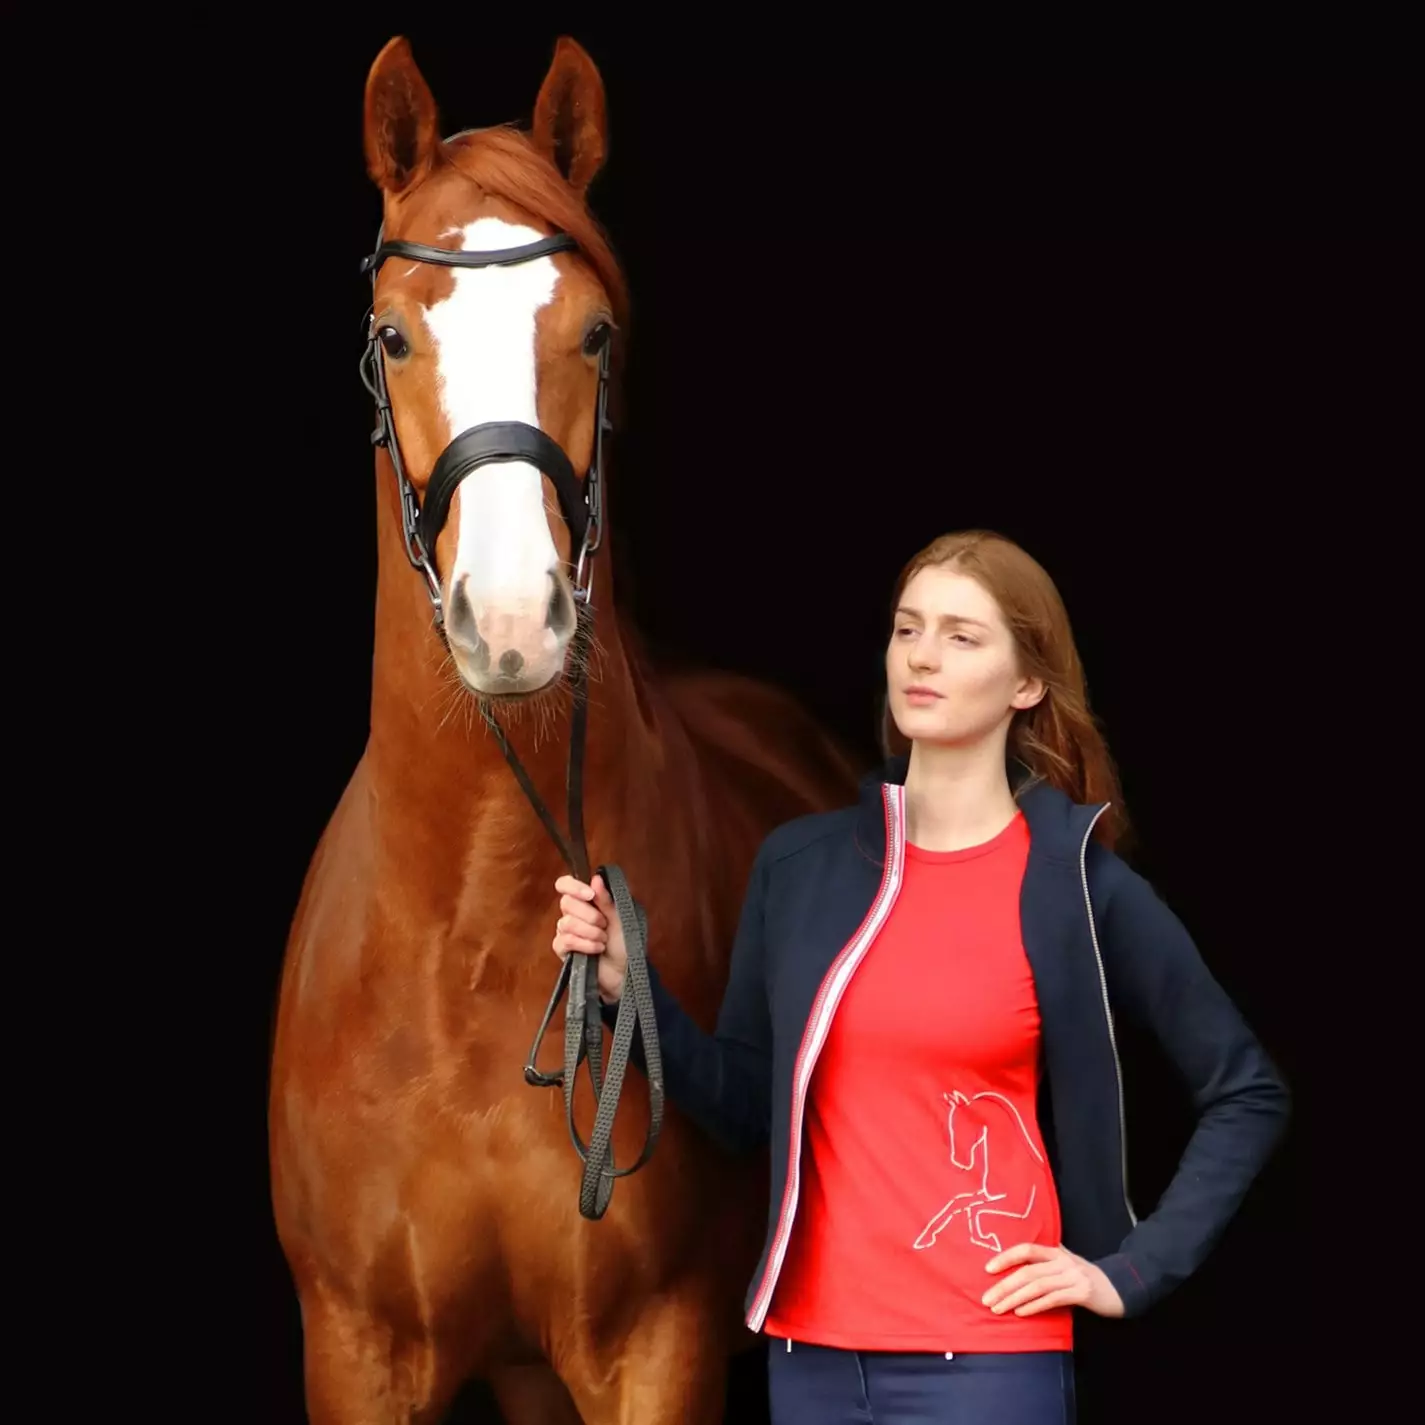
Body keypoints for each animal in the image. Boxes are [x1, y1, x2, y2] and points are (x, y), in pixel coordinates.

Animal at [267, 34, 862, 1425]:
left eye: (592, 333)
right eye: (392, 336)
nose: (510, 617)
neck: (466, 952)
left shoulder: (657, 1345)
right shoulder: (356, 1349)